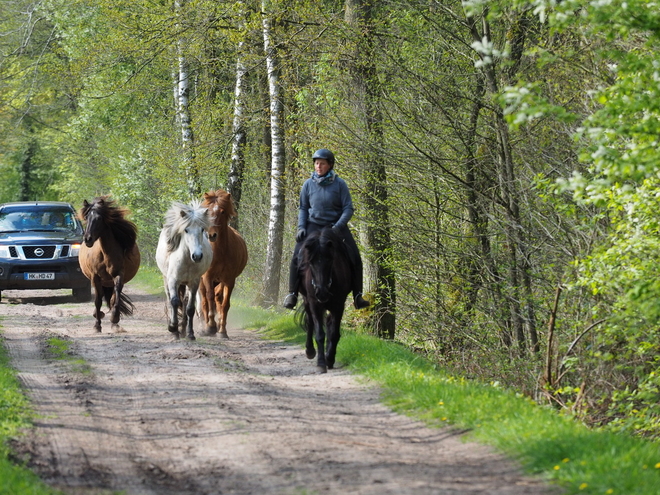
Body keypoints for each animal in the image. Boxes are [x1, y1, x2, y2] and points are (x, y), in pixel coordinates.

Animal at [80, 198, 142, 334]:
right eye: (86, 217)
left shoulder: (119, 275)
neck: (105, 254)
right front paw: (97, 325)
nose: (88, 239)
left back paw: (115, 324)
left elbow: (116, 297)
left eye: (99, 218)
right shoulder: (95, 277)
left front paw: (115, 318)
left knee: (112, 297)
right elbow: (98, 301)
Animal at [155, 202, 211, 340]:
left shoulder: (194, 282)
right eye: (186, 230)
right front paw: (173, 328)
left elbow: (190, 308)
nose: (197, 256)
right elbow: (174, 302)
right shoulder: (173, 281)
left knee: (185, 303)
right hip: (166, 279)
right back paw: (175, 331)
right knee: (171, 300)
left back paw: (184, 330)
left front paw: (191, 334)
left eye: (202, 229)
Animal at [200, 189, 249, 338]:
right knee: (204, 300)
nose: (212, 235)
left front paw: (222, 331)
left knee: (218, 298)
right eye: (207, 211)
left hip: (219, 281)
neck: (219, 252)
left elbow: (225, 303)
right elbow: (209, 298)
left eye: (222, 212)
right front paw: (210, 326)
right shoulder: (207, 277)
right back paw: (204, 327)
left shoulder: (229, 279)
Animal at [298, 227, 354, 374]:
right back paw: (310, 351)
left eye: (330, 260)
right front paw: (321, 363)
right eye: (311, 262)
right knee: (310, 322)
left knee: (328, 323)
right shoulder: (315, 304)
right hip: (307, 301)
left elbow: (334, 333)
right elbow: (319, 334)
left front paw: (330, 358)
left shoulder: (339, 304)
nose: (321, 292)